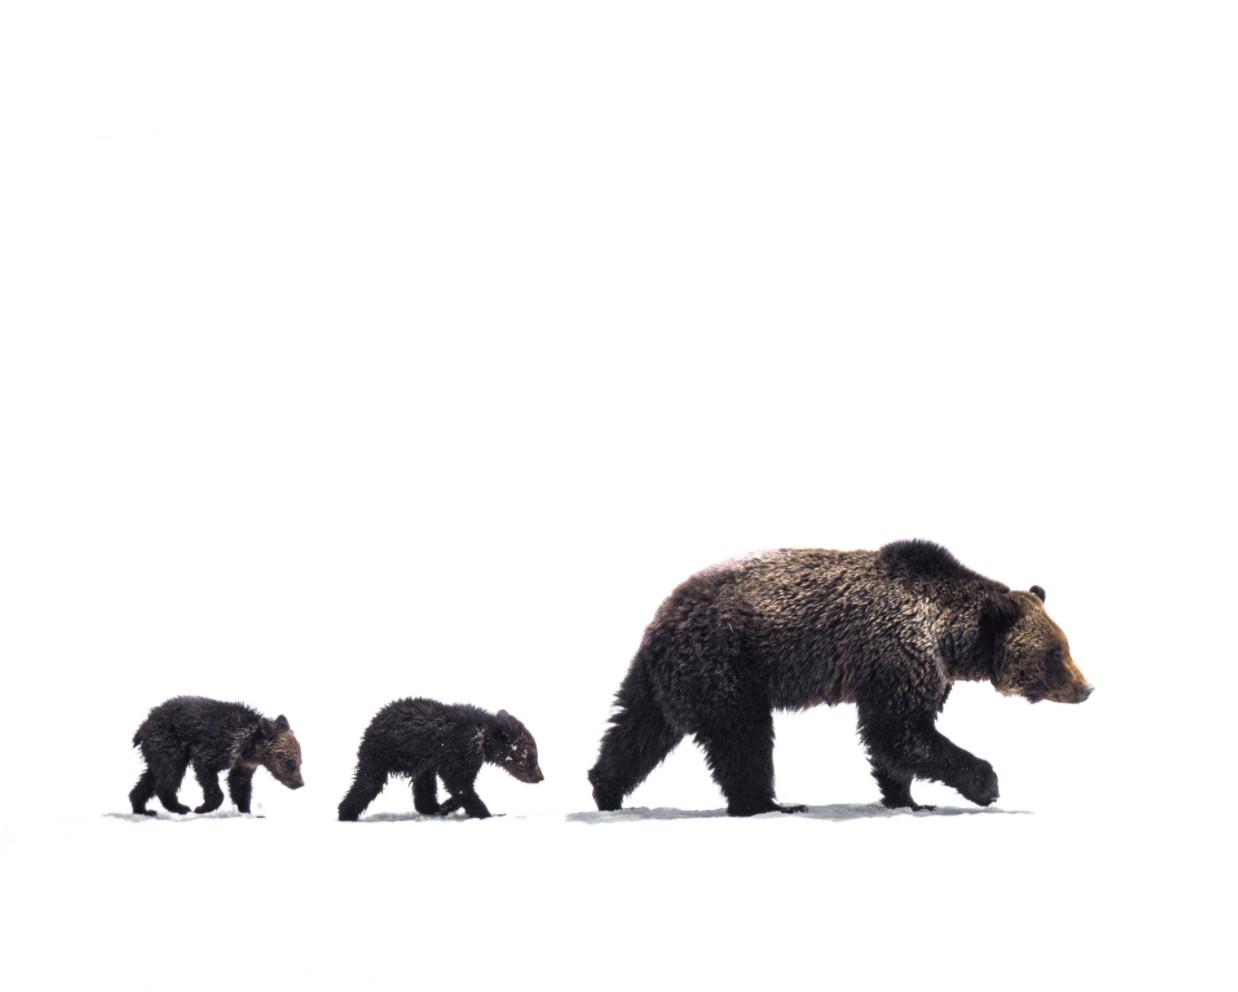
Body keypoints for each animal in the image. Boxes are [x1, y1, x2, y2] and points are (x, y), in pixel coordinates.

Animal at [129, 696, 305, 816]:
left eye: (300, 762)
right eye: (290, 762)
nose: (300, 783)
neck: (248, 747)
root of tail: (144, 726)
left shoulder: (243, 763)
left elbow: (239, 784)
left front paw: (247, 811)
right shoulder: (218, 746)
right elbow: (206, 769)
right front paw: (203, 807)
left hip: (157, 749)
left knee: (151, 776)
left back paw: (142, 808)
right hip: (169, 743)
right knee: (170, 773)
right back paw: (180, 807)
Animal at [337, 699, 543, 821]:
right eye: (533, 757)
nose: (541, 777)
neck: (483, 740)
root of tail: (371, 725)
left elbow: (458, 786)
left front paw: (451, 803)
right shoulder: (460, 751)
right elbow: (459, 784)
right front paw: (487, 813)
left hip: (421, 761)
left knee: (423, 789)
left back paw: (436, 807)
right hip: (382, 753)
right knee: (368, 782)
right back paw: (346, 813)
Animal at [587, 541, 1092, 815]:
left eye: (1066, 646)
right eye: (1055, 653)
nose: (1086, 688)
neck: (952, 638)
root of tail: (662, 616)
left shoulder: (920, 671)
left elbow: (896, 742)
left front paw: (909, 798)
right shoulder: (898, 653)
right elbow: (899, 731)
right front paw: (987, 784)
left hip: (665, 676)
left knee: (636, 730)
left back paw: (605, 790)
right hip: (726, 661)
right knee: (744, 737)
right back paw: (769, 803)